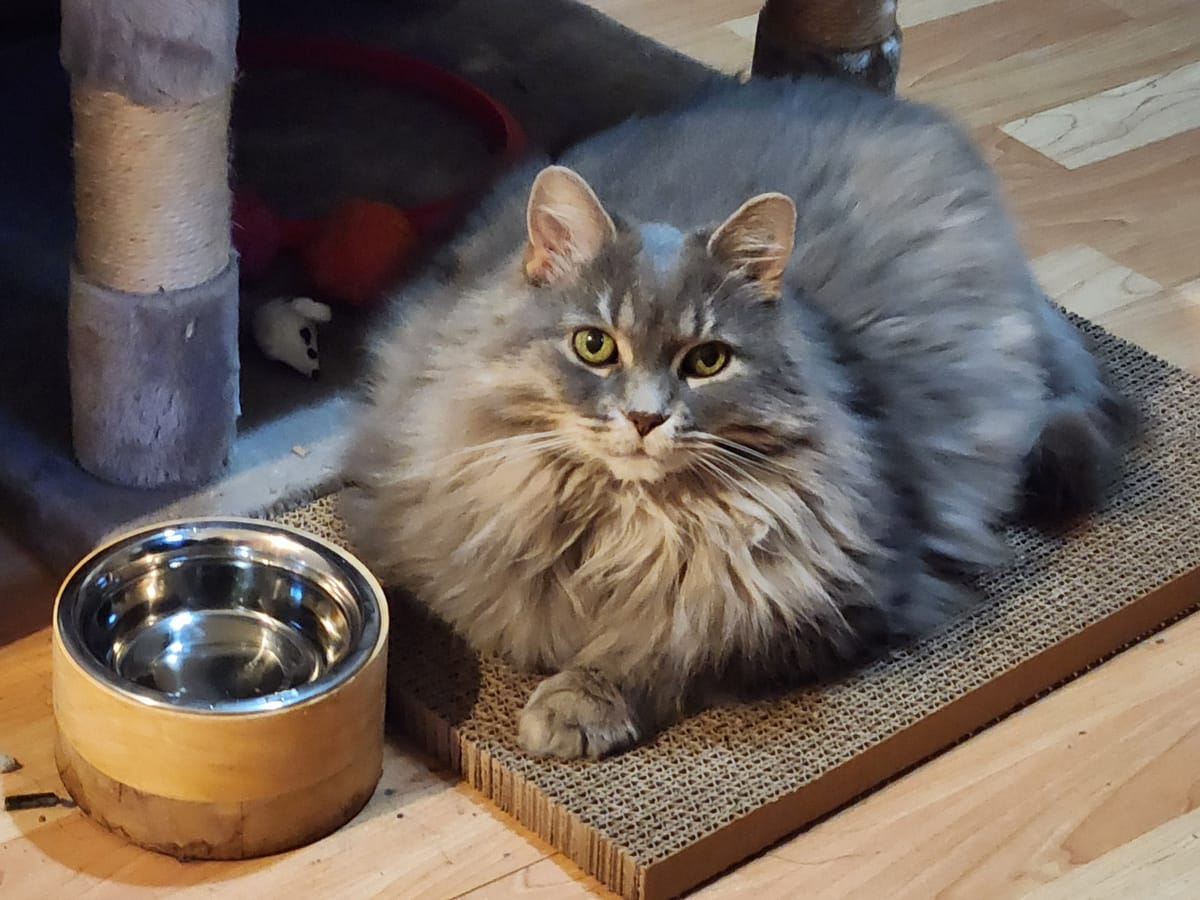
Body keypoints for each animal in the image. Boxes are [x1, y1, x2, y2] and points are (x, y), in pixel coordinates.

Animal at [340, 75, 1132, 763]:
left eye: (707, 360)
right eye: (595, 346)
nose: (645, 417)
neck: (623, 523)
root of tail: (902, 109)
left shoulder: (835, 601)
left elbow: (676, 641)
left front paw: (577, 703)